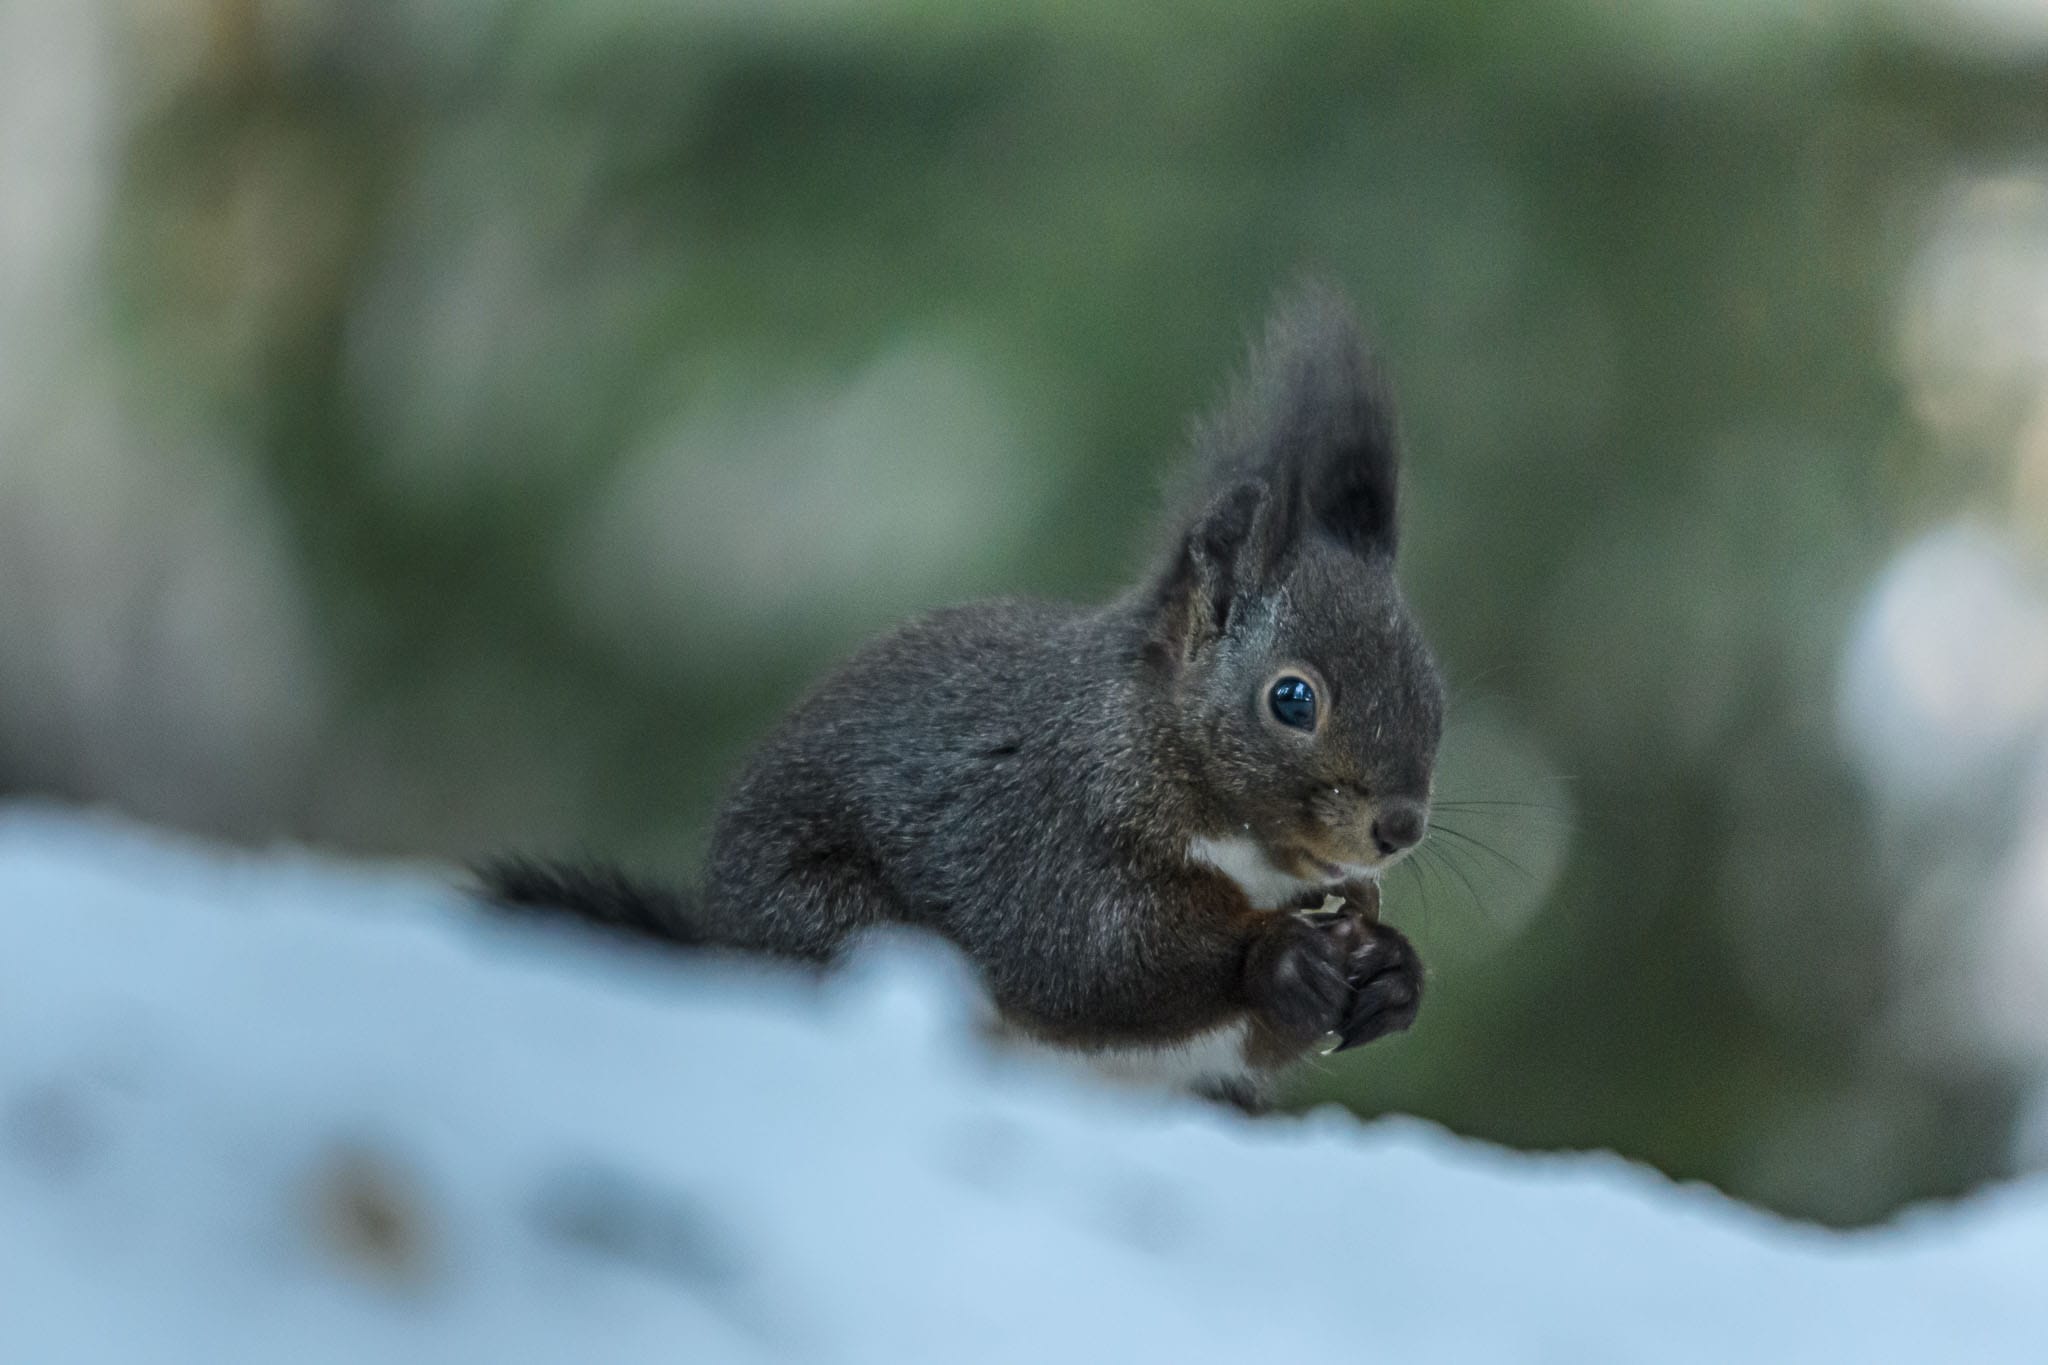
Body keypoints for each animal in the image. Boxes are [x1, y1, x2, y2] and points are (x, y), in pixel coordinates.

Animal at [483, 283, 1445, 1110]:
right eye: (1293, 699)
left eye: (1434, 691)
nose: (1399, 827)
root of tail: (718, 949)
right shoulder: (1039, 836)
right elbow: (1098, 958)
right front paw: (1279, 954)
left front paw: (1394, 972)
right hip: (840, 932)